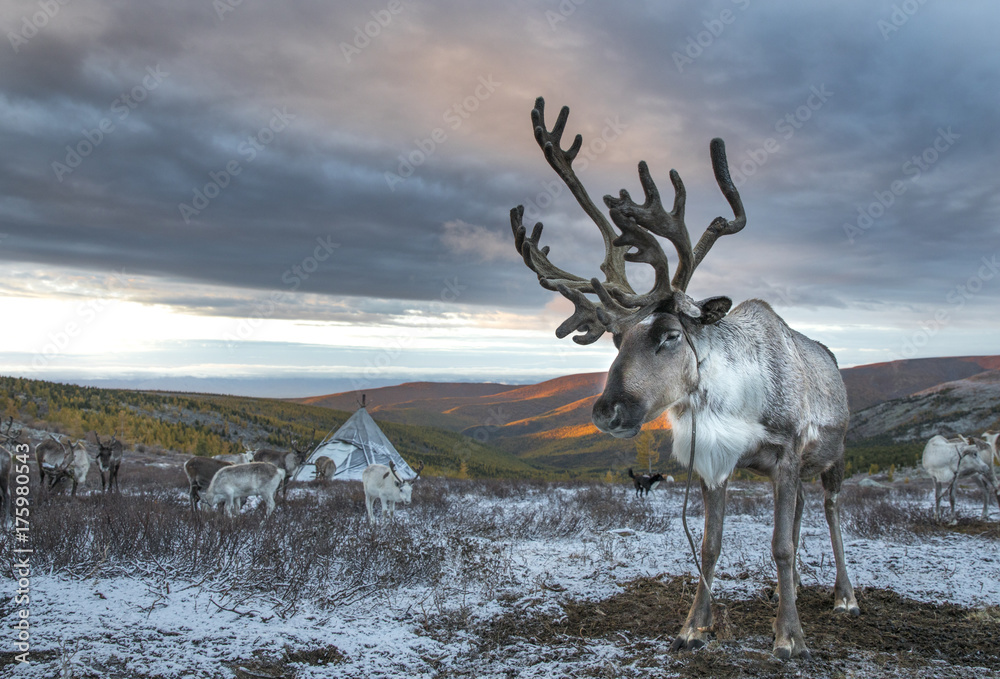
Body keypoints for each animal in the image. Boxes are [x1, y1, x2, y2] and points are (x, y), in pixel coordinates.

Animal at [509, 97, 858, 660]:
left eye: (670, 334)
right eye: (615, 339)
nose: (606, 410)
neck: (736, 401)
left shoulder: (785, 454)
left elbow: (780, 545)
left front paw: (789, 636)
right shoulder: (717, 463)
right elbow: (711, 545)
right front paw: (696, 625)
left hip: (834, 455)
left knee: (830, 509)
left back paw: (844, 594)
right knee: (803, 510)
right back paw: (795, 587)